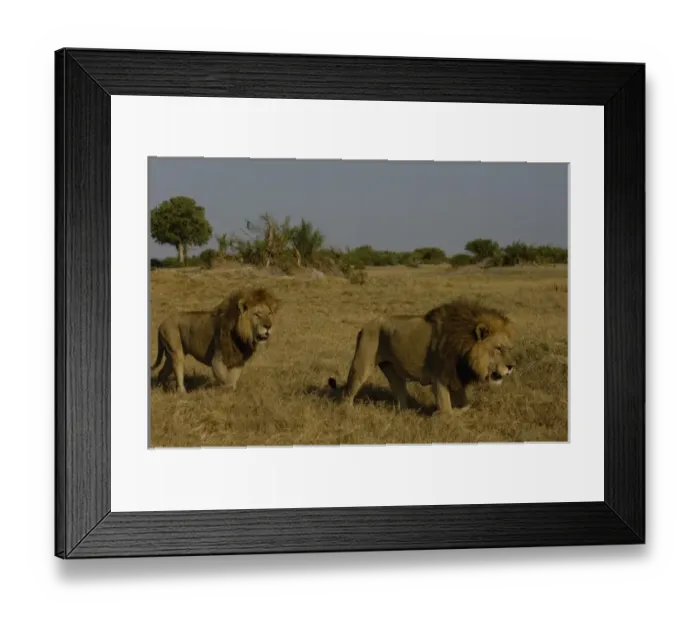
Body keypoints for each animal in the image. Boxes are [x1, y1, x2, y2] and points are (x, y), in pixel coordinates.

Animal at [151, 287, 280, 393]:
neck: (241, 337)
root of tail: (162, 324)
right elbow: (225, 378)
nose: (268, 326)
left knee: (163, 372)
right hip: (176, 350)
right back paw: (182, 392)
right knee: (177, 369)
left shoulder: (237, 359)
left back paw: (161, 388)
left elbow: (234, 377)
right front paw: (226, 389)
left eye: (269, 314)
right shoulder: (217, 360)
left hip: (171, 353)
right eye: (257, 314)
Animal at [328, 298, 516, 415]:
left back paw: (406, 413)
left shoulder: (455, 377)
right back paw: (349, 412)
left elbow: (466, 404)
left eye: (508, 349)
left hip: (392, 370)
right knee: (347, 393)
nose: (511, 367)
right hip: (362, 365)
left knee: (399, 392)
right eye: (498, 349)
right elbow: (448, 410)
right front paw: (441, 415)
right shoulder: (440, 377)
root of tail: (365, 326)